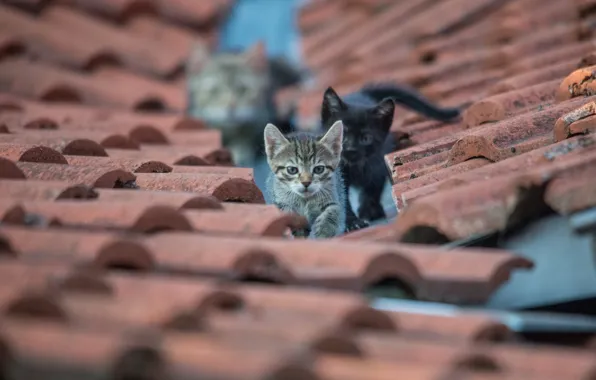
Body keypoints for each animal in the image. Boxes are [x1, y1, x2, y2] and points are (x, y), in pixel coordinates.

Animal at [322, 83, 460, 232]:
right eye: (342, 135)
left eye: (366, 138)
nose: (350, 150)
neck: (355, 167)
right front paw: (351, 222)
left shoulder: (378, 162)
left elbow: (373, 186)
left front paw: (369, 211)